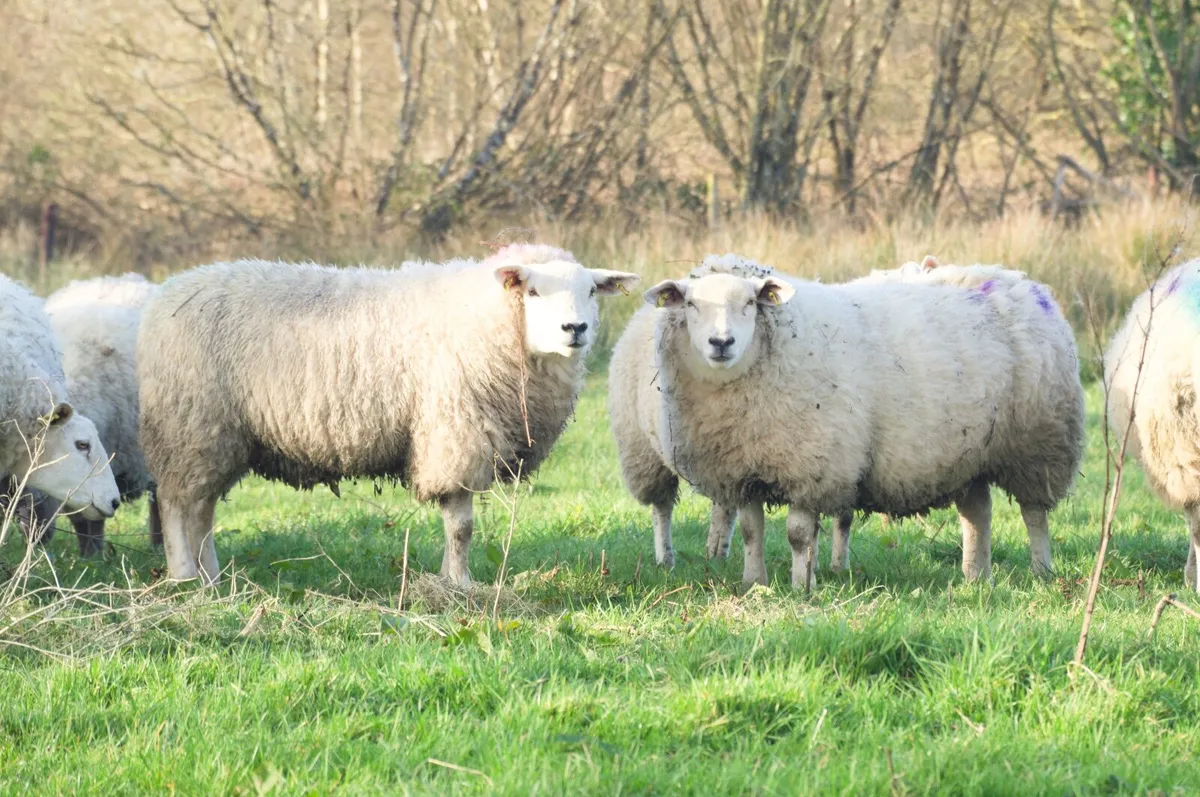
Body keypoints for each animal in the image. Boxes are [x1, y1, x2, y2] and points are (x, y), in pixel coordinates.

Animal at [138, 244, 639, 585]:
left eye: (591, 290)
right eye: (533, 291)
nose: (575, 328)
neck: (488, 319)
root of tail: (164, 296)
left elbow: (456, 525)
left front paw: (446, 581)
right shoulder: (454, 433)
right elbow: (462, 527)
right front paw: (460, 585)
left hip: (215, 437)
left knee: (201, 510)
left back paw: (212, 577)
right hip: (189, 425)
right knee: (178, 506)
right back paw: (185, 579)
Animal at [640, 253, 1084, 589]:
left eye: (750, 303)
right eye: (691, 305)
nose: (722, 343)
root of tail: (1011, 278)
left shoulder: (815, 465)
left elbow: (798, 535)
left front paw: (800, 587)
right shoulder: (743, 469)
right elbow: (751, 531)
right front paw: (755, 583)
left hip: (1038, 442)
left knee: (1034, 513)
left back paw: (1041, 570)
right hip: (970, 453)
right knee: (978, 514)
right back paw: (975, 576)